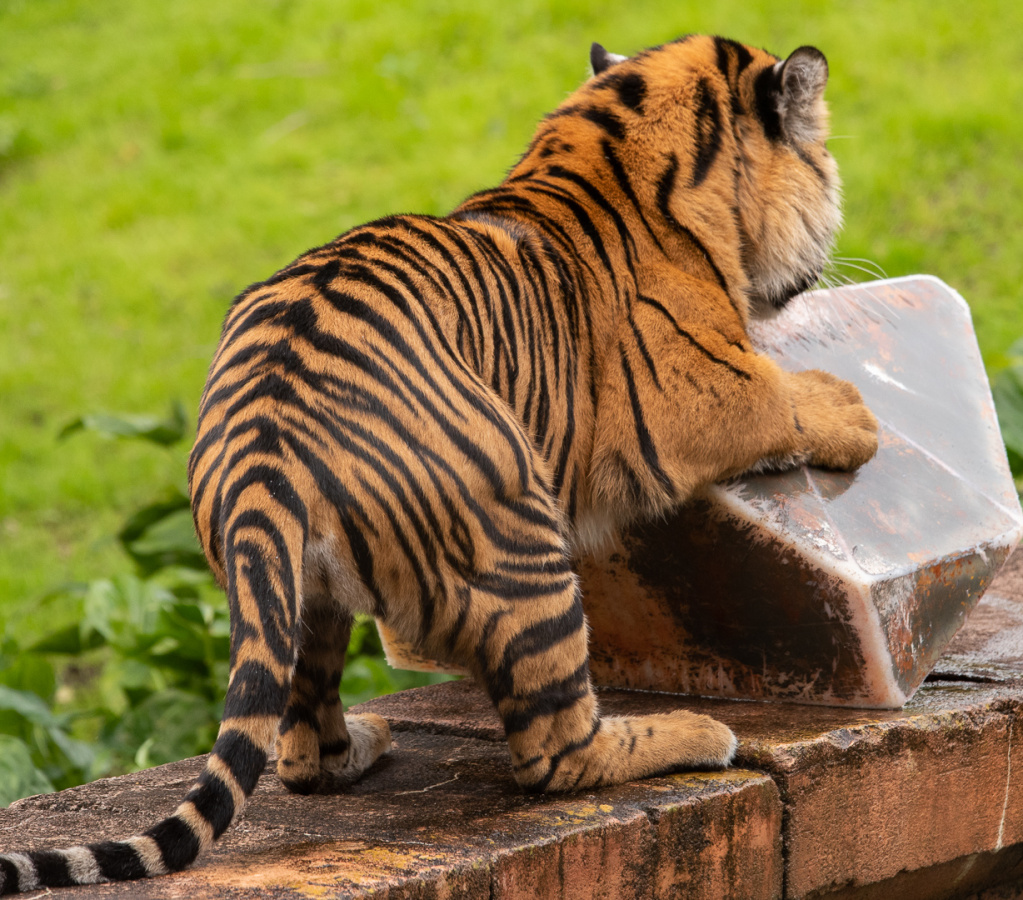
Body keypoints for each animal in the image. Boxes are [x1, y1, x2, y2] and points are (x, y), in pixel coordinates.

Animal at [0, 33, 878, 894]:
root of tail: (262, 441)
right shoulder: (703, 390)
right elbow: (782, 398)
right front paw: (854, 413)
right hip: (521, 536)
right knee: (554, 752)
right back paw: (694, 734)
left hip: (298, 594)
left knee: (299, 744)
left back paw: (363, 741)